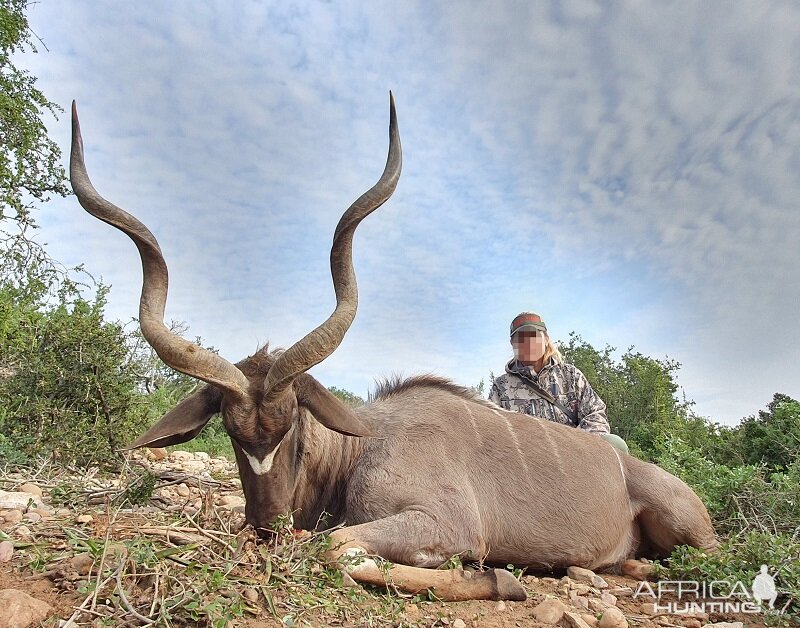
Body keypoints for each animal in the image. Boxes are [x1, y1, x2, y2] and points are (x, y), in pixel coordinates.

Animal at [72, 95, 716, 600]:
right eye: (230, 431)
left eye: (293, 425)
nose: (267, 527)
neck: (359, 449)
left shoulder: (445, 523)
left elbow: (339, 549)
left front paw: (498, 579)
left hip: (691, 533)